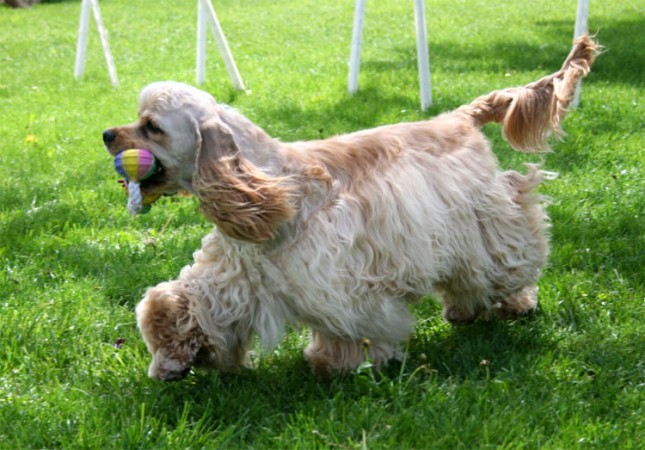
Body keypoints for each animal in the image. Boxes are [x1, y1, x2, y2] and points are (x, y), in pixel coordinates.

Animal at [102, 35, 600, 382]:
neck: (269, 183)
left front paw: (340, 362)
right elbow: (180, 303)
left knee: (507, 257)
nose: (106, 134)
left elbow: (351, 326)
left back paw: (515, 303)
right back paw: (465, 311)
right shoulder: (237, 273)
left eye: (151, 127)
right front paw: (171, 360)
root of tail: (459, 117)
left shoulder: (340, 282)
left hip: (484, 218)